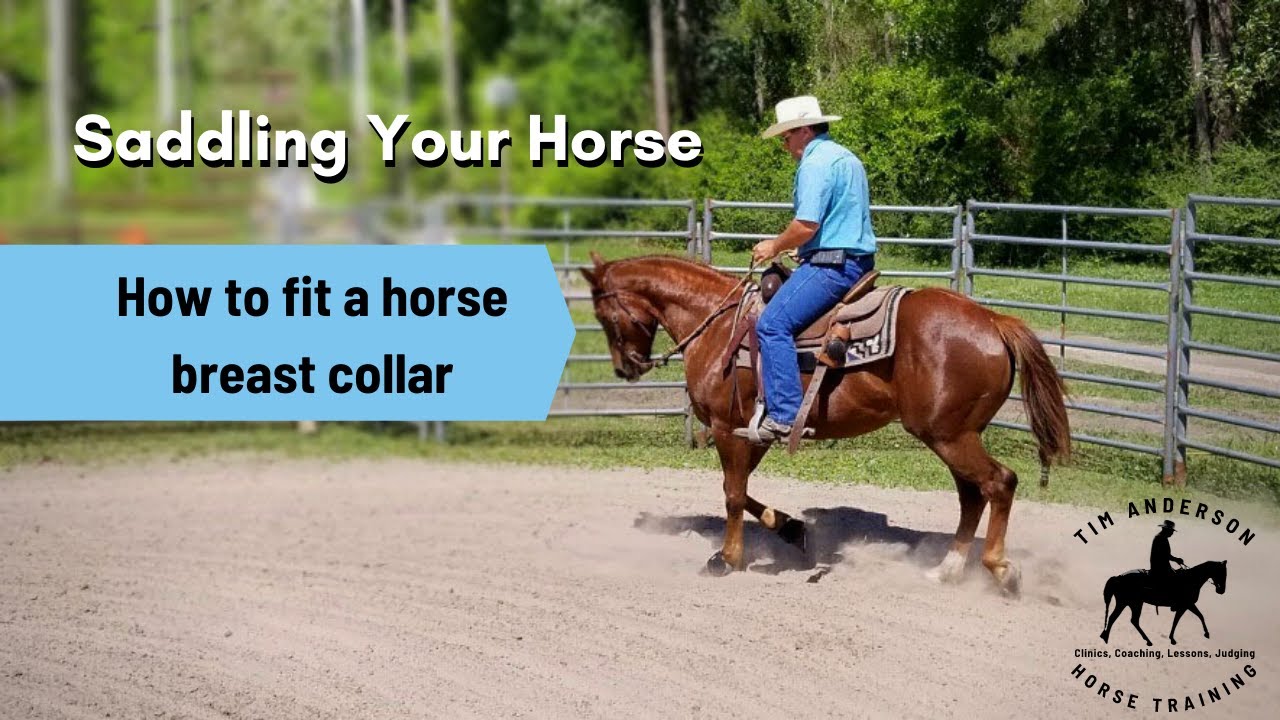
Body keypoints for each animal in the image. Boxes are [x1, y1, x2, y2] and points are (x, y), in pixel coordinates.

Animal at [580, 253, 1070, 595]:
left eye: (604, 315)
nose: (626, 367)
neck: (718, 327)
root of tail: (993, 320)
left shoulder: (725, 427)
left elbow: (733, 495)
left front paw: (727, 557)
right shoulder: (753, 431)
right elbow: (744, 490)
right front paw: (791, 528)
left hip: (948, 435)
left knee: (999, 483)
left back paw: (1000, 569)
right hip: (954, 435)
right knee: (973, 494)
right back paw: (947, 569)